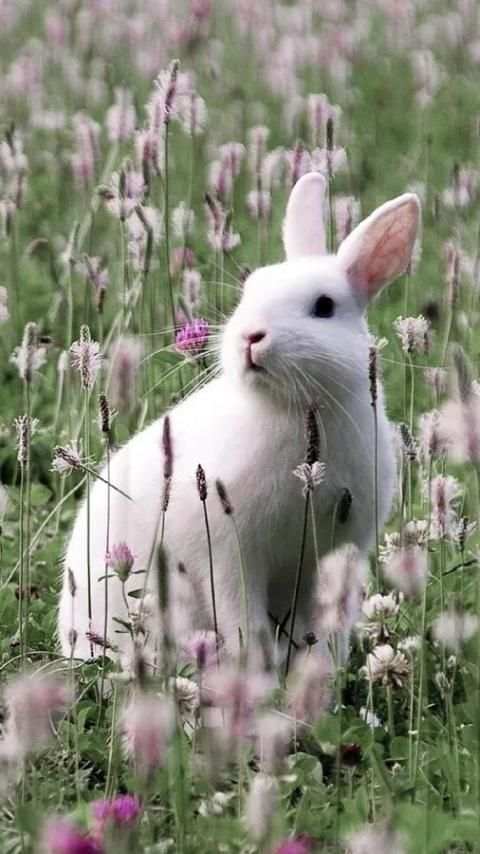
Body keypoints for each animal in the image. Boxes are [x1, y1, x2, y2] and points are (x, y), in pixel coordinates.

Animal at [58, 172, 420, 668]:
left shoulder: (337, 554)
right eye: (250, 291)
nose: (251, 336)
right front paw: (258, 675)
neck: (290, 409)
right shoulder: (229, 556)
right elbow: (242, 622)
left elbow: (325, 630)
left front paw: (319, 677)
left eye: (324, 306)